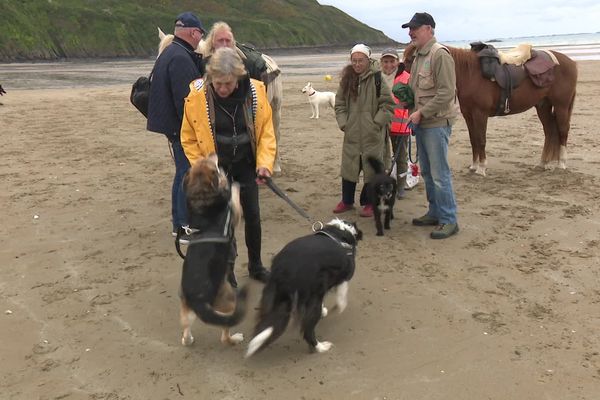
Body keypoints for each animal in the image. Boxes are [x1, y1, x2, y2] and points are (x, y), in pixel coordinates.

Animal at [177, 155, 247, 346]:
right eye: (212, 164)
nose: (214, 154)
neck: (201, 195)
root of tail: (198, 300)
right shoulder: (235, 213)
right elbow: (233, 196)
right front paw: (232, 184)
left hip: (186, 310)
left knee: (186, 330)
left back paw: (188, 339)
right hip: (228, 302)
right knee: (225, 335)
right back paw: (235, 338)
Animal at [244, 219, 360, 356]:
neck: (339, 232)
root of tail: (284, 270)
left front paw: (325, 310)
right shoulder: (346, 272)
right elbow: (342, 292)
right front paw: (339, 306)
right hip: (311, 300)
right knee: (307, 331)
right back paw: (321, 347)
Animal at [404, 43, 576, 176]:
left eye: (412, 58)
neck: (470, 73)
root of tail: (569, 62)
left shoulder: (480, 114)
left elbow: (481, 139)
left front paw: (481, 168)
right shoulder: (468, 115)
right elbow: (473, 139)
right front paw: (474, 166)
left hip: (561, 106)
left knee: (562, 131)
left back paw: (561, 164)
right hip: (543, 106)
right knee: (550, 131)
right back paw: (544, 163)